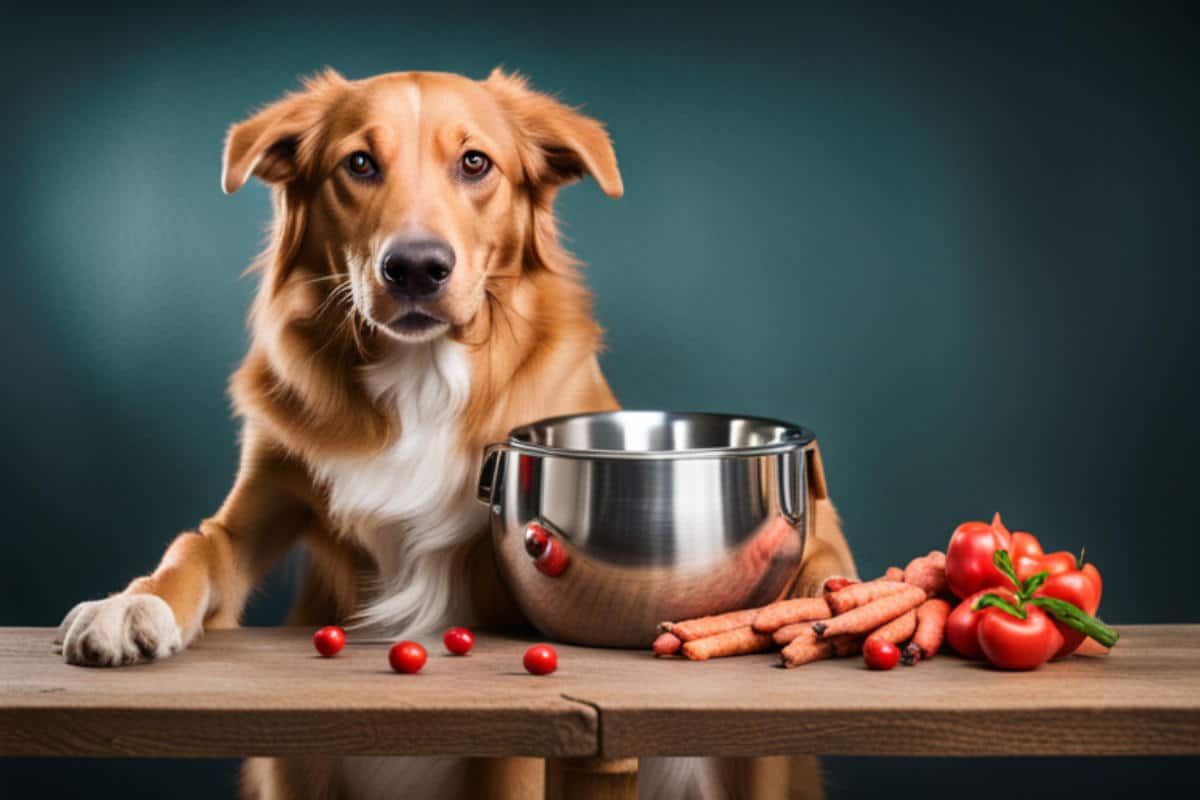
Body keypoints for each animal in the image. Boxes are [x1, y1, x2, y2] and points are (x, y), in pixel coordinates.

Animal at [56, 70, 854, 800]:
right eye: (358, 163)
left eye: (475, 163)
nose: (415, 268)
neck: (420, 379)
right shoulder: (261, 502)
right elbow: (198, 548)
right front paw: (129, 607)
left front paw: (826, 596)